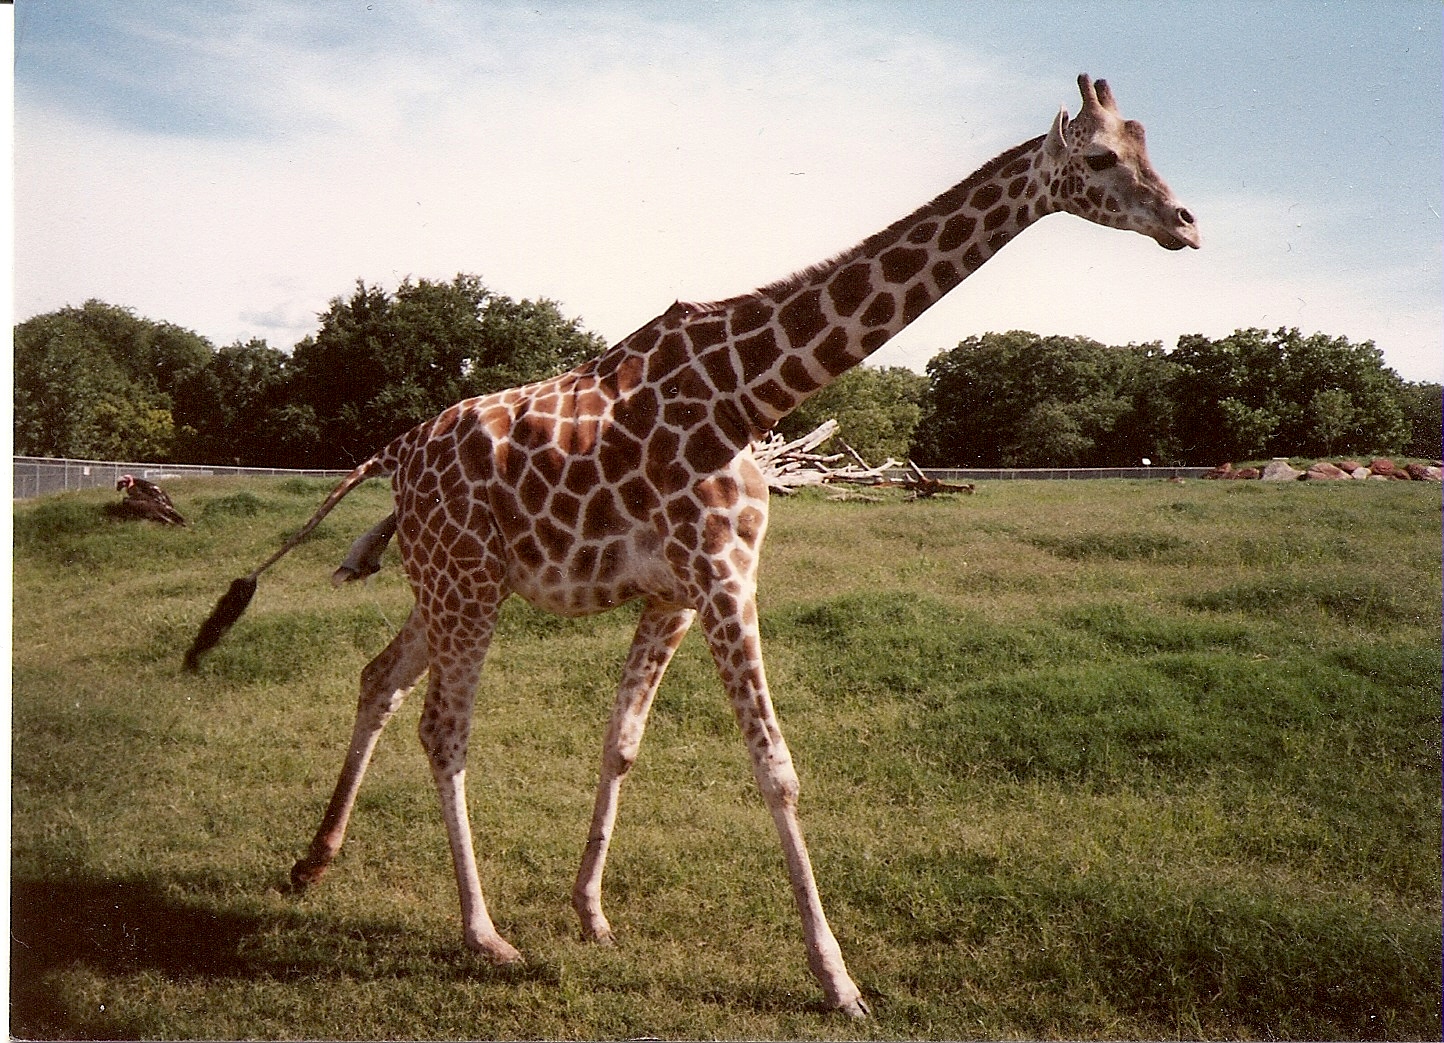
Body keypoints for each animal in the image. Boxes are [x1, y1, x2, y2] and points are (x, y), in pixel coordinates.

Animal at [186, 75, 1197, 1016]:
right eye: (1100, 158)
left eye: (1150, 142)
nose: (1186, 223)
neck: (752, 392)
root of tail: (394, 453)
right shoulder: (720, 577)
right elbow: (776, 768)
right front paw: (837, 980)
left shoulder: (675, 592)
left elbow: (622, 741)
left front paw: (591, 910)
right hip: (464, 584)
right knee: (444, 727)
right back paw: (482, 933)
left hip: (454, 582)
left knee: (378, 678)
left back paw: (313, 862)